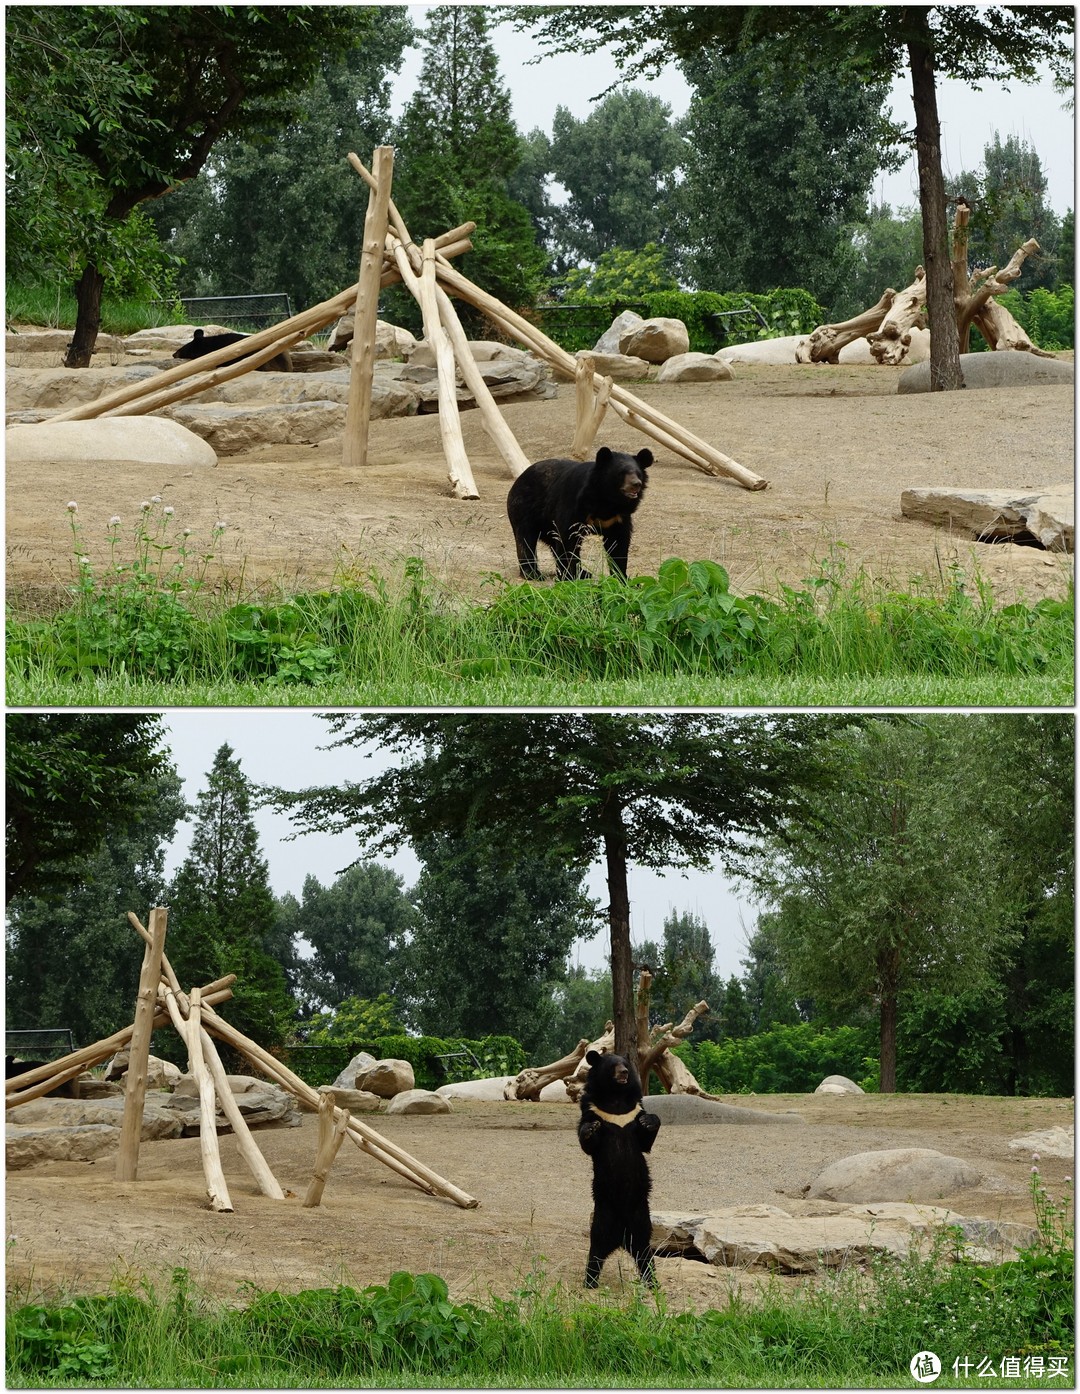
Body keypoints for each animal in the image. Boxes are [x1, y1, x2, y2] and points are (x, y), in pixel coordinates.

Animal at [504, 443, 649, 579]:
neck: (608, 500)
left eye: (638, 473)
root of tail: (518, 480)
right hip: (524, 508)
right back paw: (533, 573)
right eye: (621, 473)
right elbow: (568, 538)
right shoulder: (573, 505)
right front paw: (569, 577)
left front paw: (623, 578)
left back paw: (583, 573)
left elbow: (618, 544)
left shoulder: (618, 517)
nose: (636, 484)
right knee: (525, 539)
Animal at [579, 1048, 663, 1282]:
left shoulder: (634, 1108)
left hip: (641, 1214)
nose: (624, 1072)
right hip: (603, 1211)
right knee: (596, 1246)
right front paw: (590, 1129)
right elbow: (587, 1140)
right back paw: (590, 1281)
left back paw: (652, 1282)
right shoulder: (592, 1107)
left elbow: (644, 1141)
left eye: (625, 1064)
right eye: (612, 1066)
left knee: (644, 1249)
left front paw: (649, 1121)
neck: (615, 1096)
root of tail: (620, 1238)